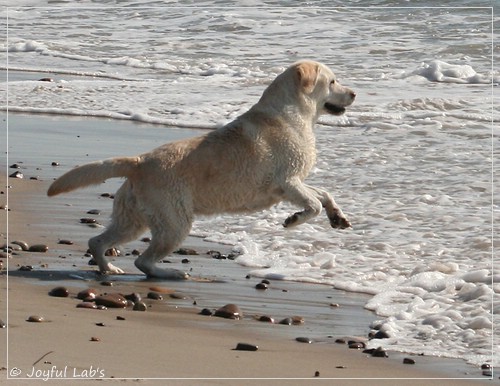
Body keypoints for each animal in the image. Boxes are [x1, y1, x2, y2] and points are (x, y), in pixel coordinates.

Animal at [47, 59, 356, 278]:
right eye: (332, 81)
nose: (354, 94)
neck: (295, 113)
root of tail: (139, 161)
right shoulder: (287, 182)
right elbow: (313, 204)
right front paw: (294, 220)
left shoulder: (295, 183)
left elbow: (324, 194)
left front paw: (337, 217)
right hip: (174, 223)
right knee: (142, 260)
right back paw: (171, 272)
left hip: (132, 220)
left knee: (97, 242)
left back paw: (108, 268)